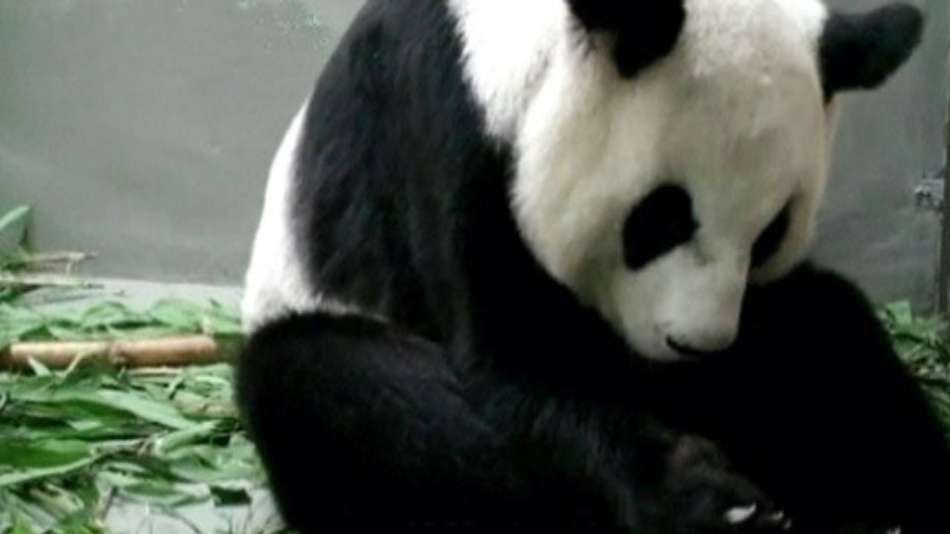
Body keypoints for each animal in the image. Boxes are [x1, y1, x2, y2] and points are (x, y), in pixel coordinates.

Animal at [236, 0, 950, 532]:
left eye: (772, 231)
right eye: (662, 217)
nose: (695, 346)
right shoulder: (445, 131)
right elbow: (521, 359)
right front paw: (708, 500)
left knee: (830, 332)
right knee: (333, 385)